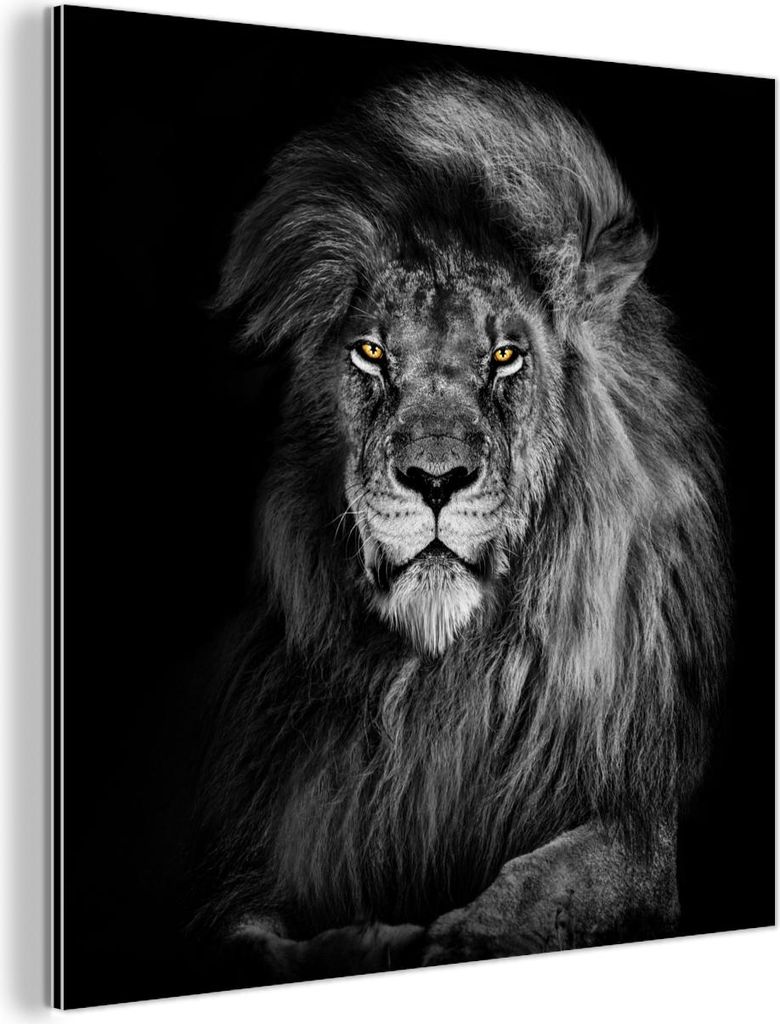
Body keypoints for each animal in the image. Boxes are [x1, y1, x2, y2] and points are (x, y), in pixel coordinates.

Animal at [191, 72, 730, 985]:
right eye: (371, 353)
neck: (440, 682)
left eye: (506, 356)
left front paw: (460, 936)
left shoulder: (638, 820)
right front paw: (366, 943)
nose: (436, 480)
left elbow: (552, 884)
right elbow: (247, 938)